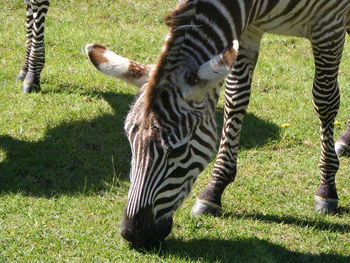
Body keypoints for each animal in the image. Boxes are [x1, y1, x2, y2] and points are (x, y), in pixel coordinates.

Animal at [83, 0, 350, 248]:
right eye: (130, 141)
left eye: (178, 150)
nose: (133, 234)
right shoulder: (247, 29)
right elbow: (236, 97)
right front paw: (215, 188)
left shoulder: (329, 26)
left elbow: (325, 100)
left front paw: (327, 186)